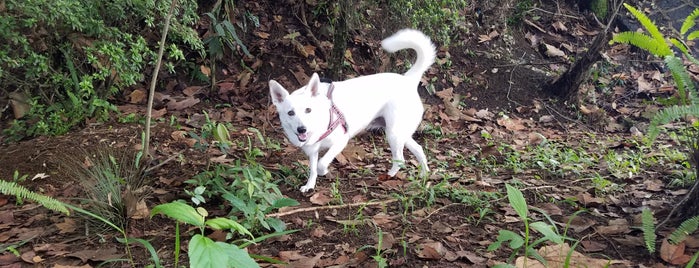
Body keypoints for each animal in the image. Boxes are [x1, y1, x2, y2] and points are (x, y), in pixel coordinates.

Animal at [270, 28, 434, 193]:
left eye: (308, 110)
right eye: (290, 113)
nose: (302, 129)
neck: (322, 118)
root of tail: (408, 79)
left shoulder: (340, 141)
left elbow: (321, 164)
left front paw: (325, 171)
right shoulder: (313, 150)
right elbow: (313, 169)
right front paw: (310, 185)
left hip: (394, 134)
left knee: (400, 159)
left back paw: (389, 176)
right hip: (400, 133)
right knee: (419, 149)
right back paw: (424, 174)